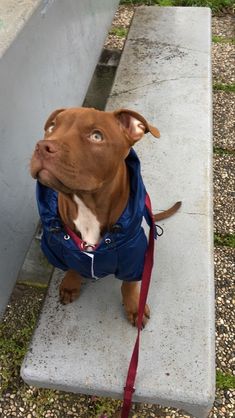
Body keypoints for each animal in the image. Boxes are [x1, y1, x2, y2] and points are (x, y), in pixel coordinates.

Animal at [29, 108, 180, 326]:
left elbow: (129, 284)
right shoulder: (60, 249)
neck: (86, 206)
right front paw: (70, 285)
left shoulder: (133, 256)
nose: (42, 146)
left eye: (96, 136)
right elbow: (72, 267)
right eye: (52, 127)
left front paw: (135, 307)